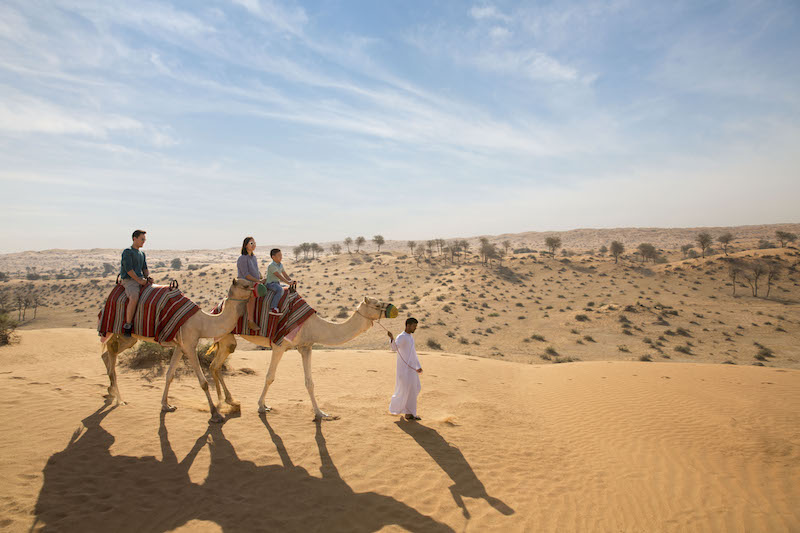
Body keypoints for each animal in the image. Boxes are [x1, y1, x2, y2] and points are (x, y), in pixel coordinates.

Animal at [101, 276, 253, 422]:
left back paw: (111, 391)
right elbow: (203, 382)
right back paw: (119, 398)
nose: (256, 286)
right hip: (116, 329)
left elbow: (170, 375)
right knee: (111, 353)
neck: (202, 323)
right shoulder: (189, 345)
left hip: (128, 338)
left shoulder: (180, 346)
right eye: (246, 285)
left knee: (108, 352)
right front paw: (215, 414)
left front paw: (166, 405)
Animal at [206, 298, 394, 418]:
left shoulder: (306, 347)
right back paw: (223, 404)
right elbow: (270, 377)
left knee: (215, 365)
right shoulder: (279, 346)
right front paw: (261, 406)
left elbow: (309, 382)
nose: (393, 309)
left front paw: (320, 413)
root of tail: (216, 307)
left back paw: (228, 402)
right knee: (215, 364)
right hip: (224, 334)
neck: (314, 326)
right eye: (377, 304)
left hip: (226, 341)